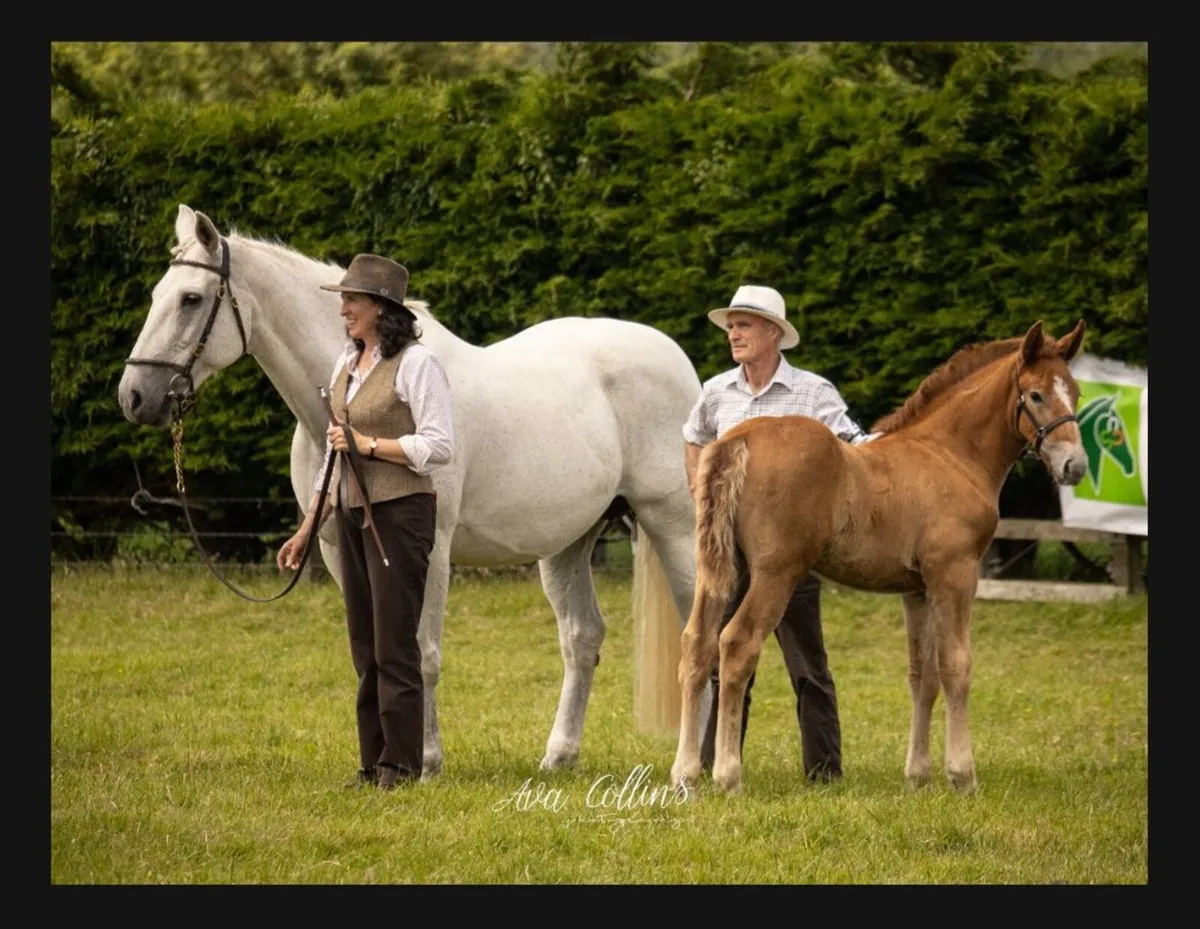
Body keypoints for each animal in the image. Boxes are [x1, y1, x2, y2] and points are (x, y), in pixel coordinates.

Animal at [117, 204, 702, 777]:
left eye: (191, 299)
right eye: (157, 295)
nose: (135, 396)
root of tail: (675, 359)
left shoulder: (430, 548)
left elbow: (420, 650)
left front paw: (424, 761)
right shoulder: (337, 548)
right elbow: (370, 648)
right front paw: (378, 762)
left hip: (673, 527)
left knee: (699, 633)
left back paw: (695, 767)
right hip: (568, 543)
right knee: (582, 638)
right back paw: (559, 757)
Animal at [670, 319, 1089, 795]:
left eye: (1075, 392)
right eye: (1035, 395)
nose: (1074, 465)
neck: (950, 454)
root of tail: (739, 438)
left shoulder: (918, 590)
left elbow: (922, 676)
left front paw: (918, 775)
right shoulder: (955, 575)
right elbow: (956, 667)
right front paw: (962, 775)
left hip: (721, 570)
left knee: (697, 644)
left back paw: (685, 774)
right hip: (775, 573)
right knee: (737, 645)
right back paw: (728, 775)